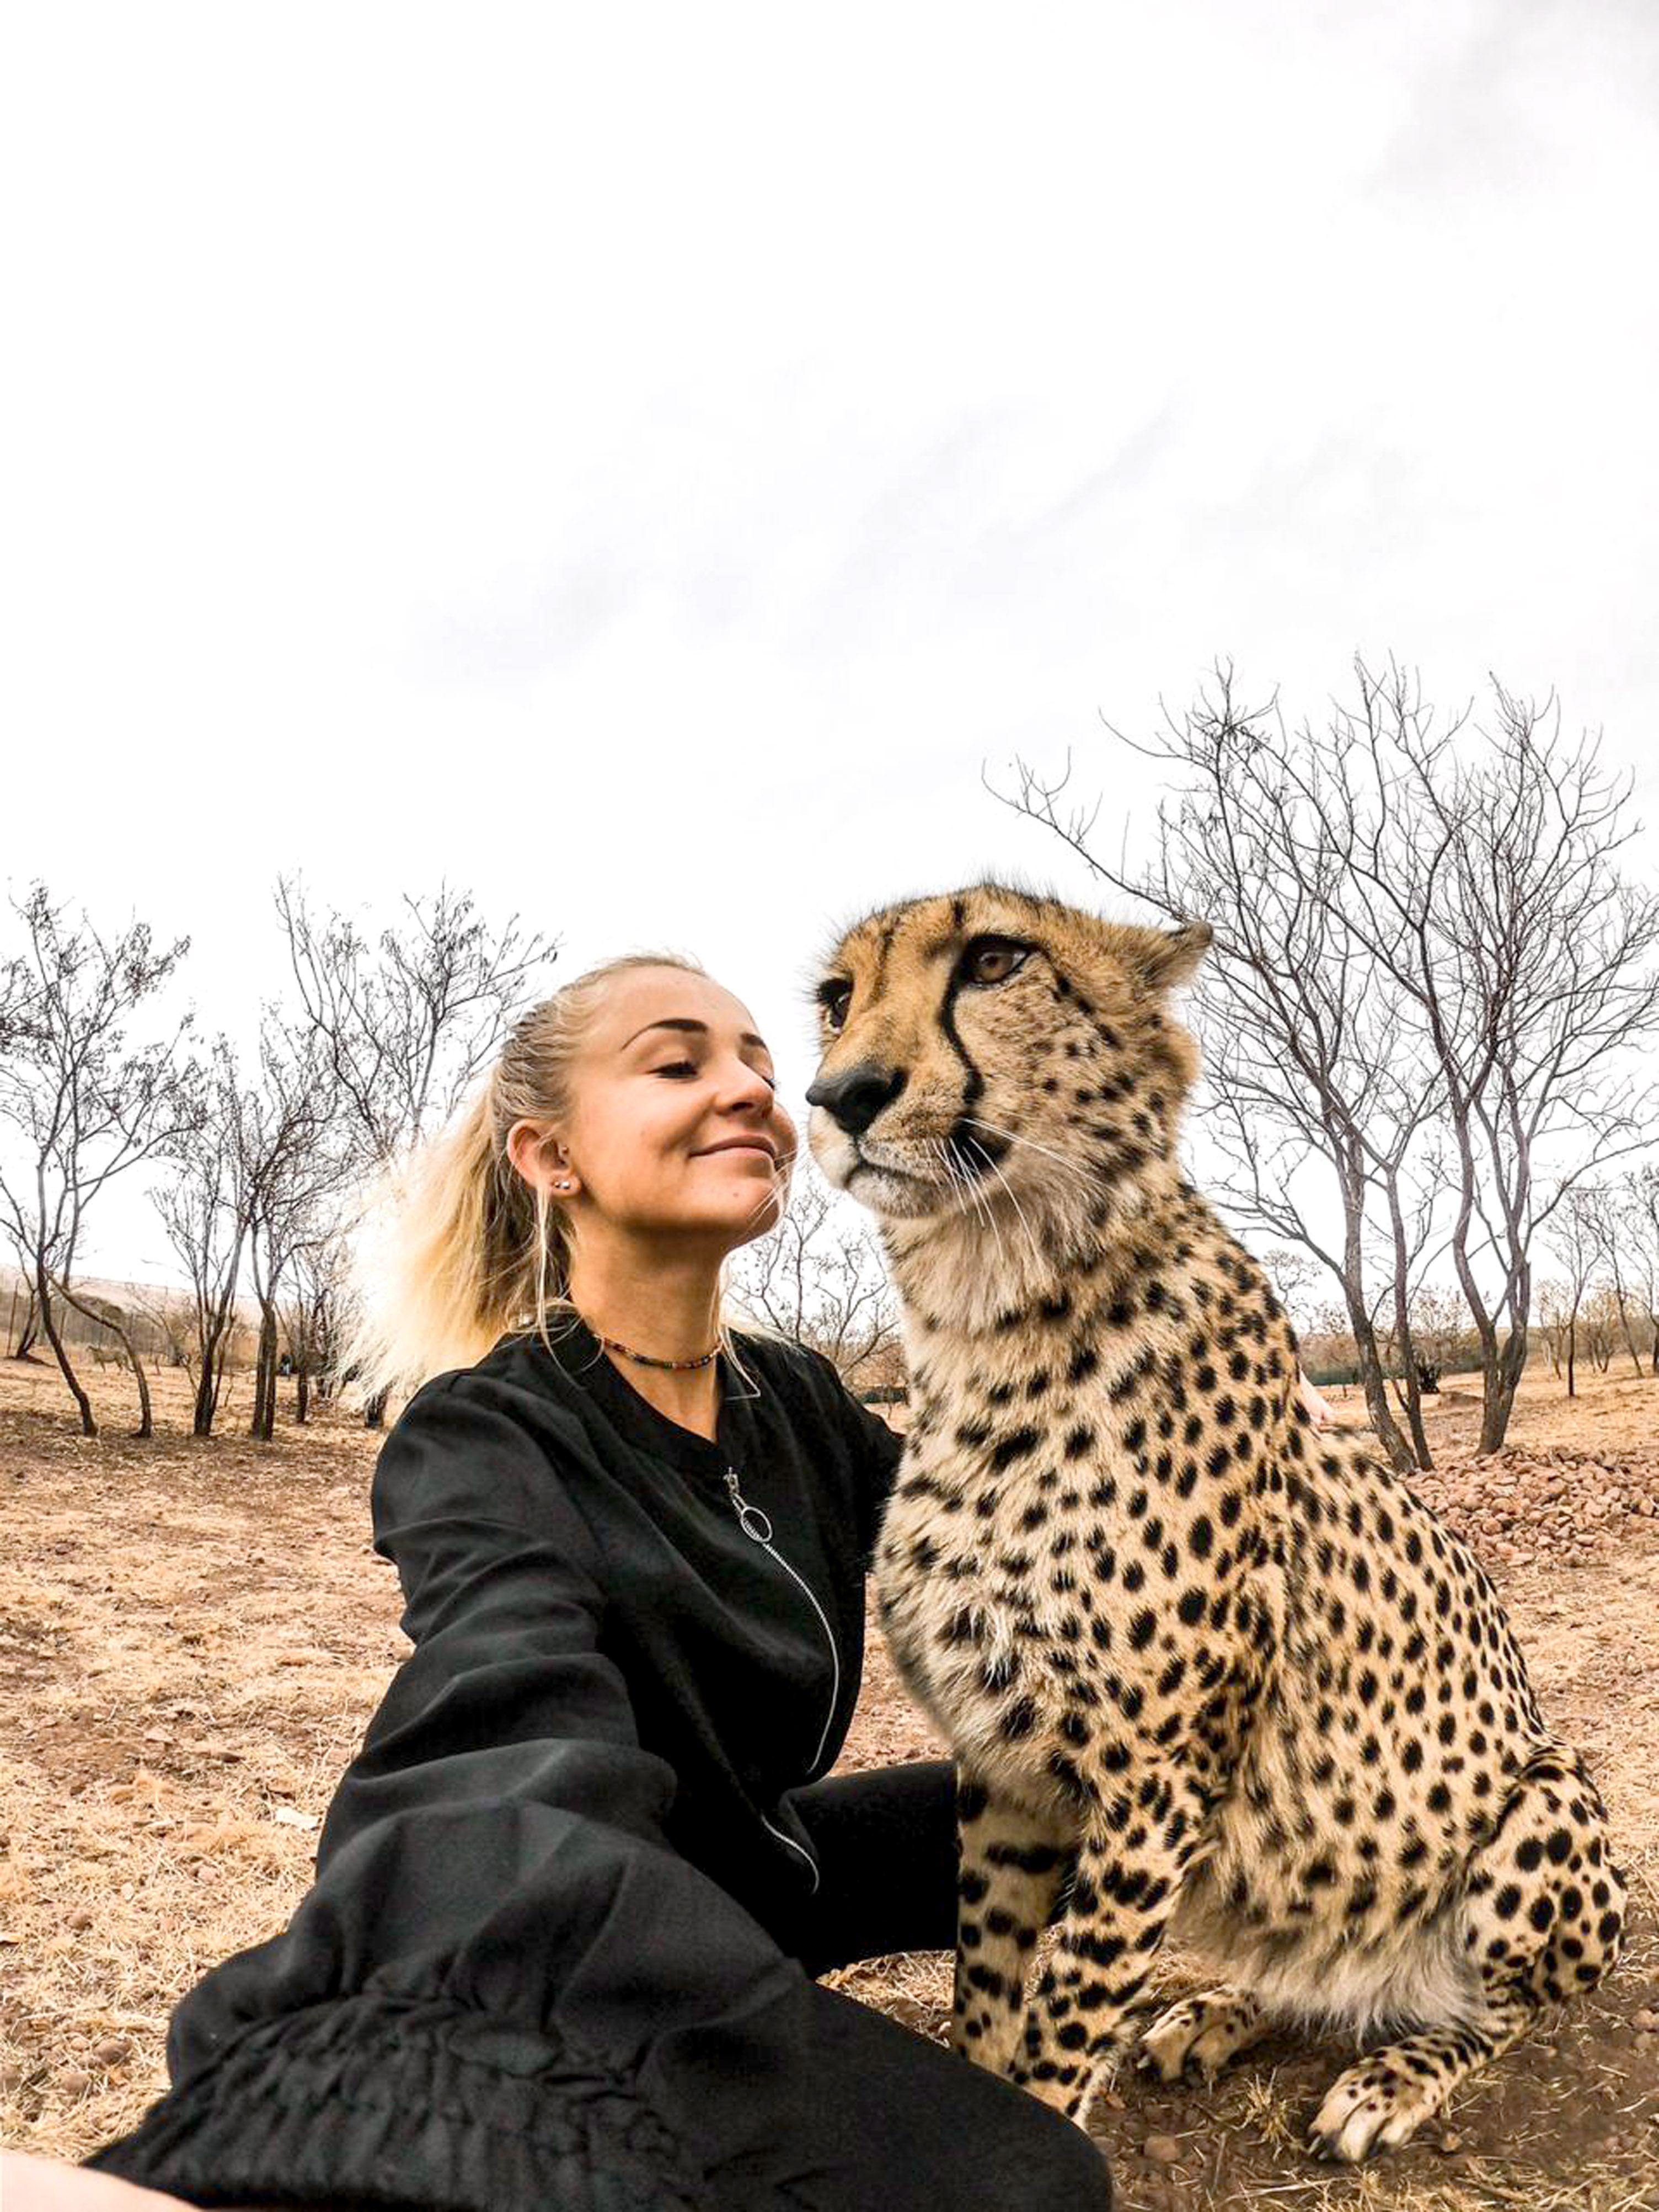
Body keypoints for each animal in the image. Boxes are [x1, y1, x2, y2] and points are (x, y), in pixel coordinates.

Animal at [809, 880, 1636, 2158]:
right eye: (835, 997)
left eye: (994, 960)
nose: (839, 1095)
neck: (986, 1309)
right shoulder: (1004, 1766)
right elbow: (990, 1986)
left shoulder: (1156, 1784)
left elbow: (1063, 2019)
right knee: (1320, 1975)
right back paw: (1218, 2013)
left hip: (1546, 1797)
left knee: (1499, 2007)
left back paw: (1393, 2077)